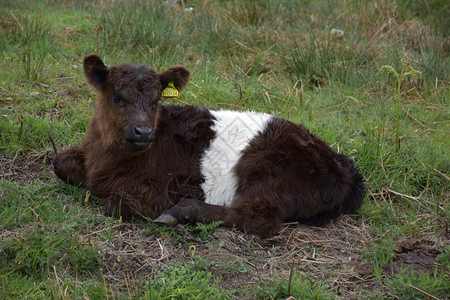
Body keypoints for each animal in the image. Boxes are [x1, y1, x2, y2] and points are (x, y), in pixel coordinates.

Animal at [54, 53, 366, 237]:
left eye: (157, 100)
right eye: (117, 96)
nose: (143, 131)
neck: (107, 161)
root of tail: (344, 165)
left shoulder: (174, 185)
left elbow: (116, 203)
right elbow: (60, 163)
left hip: (268, 170)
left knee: (258, 219)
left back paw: (181, 212)